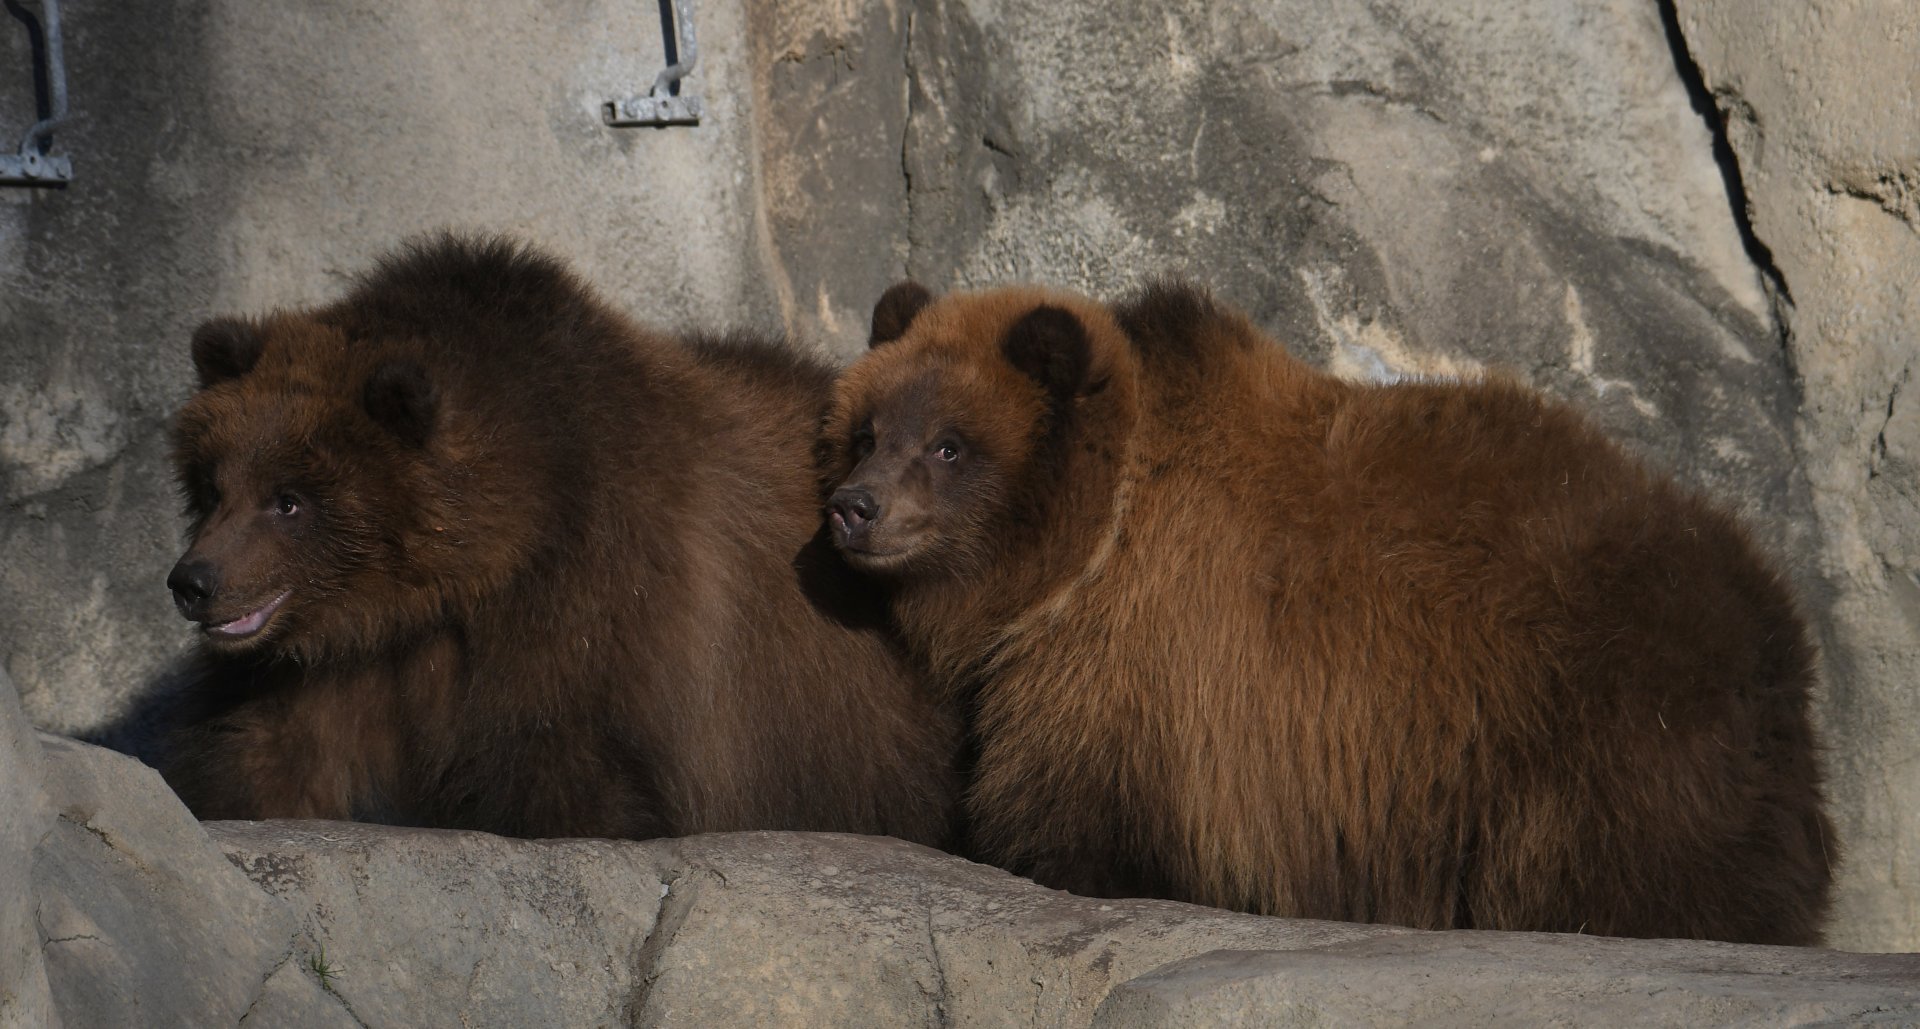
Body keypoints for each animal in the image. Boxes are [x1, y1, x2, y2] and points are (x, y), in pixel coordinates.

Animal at [141, 234, 960, 844]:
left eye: (289, 500)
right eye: (212, 486)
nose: (194, 580)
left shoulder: (590, 599)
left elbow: (568, 773)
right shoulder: (325, 670)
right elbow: (262, 750)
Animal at [819, 278, 1835, 944]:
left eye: (950, 445)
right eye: (868, 430)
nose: (854, 507)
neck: (1083, 543)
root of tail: (1773, 624)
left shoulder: (1134, 670)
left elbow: (1068, 820)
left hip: (1599, 733)